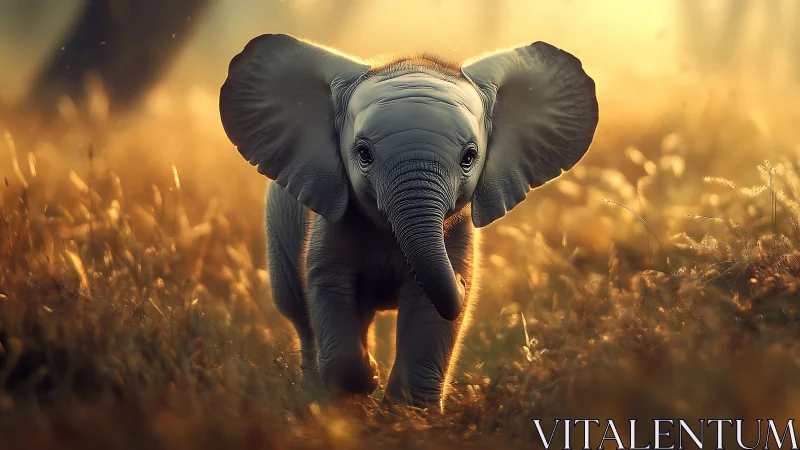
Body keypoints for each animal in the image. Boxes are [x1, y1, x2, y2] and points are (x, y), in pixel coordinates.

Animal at [219, 34, 598, 409]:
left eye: (469, 157)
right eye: (363, 154)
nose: (462, 281)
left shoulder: (456, 231)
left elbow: (430, 314)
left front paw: (410, 414)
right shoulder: (333, 219)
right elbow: (328, 282)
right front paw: (366, 380)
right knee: (298, 312)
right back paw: (318, 399)